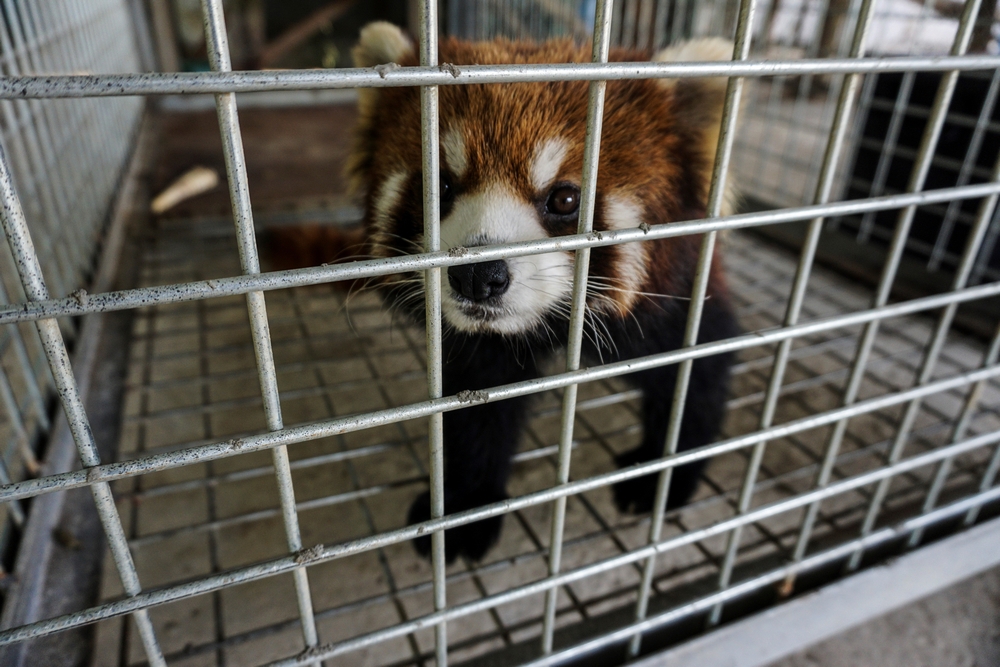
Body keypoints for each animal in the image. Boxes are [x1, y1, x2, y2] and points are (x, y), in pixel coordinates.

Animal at [292, 22, 744, 564]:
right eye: (440, 187)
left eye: (565, 199)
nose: (477, 275)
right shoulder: (478, 350)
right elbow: (477, 411)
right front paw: (465, 508)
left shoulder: (675, 293)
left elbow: (694, 368)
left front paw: (662, 472)